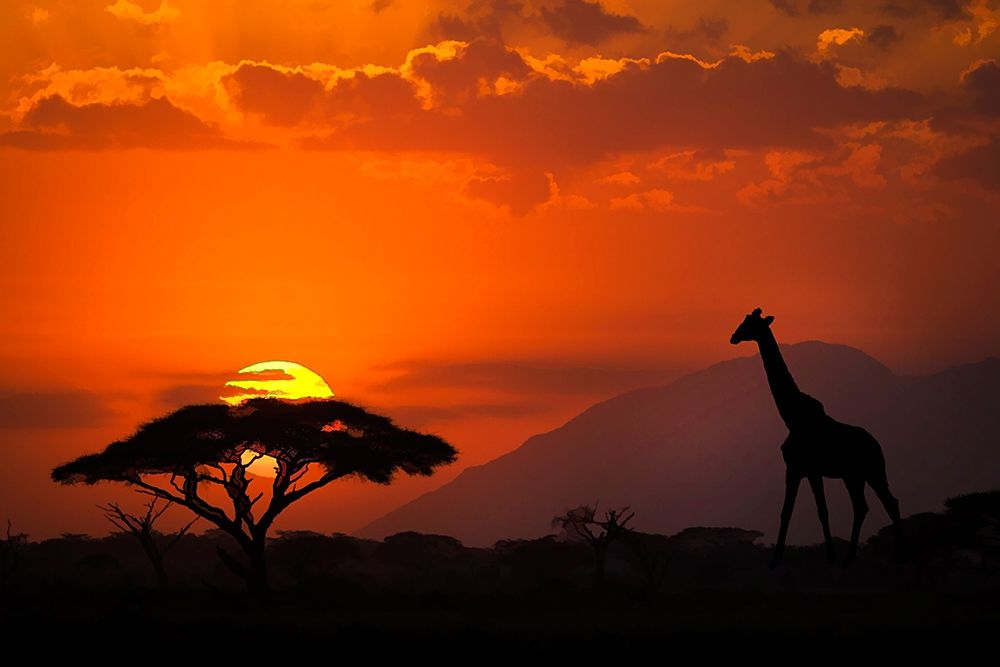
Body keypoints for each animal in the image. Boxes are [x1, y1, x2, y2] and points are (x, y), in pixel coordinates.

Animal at [732, 310, 904, 568]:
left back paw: (896, 558)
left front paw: (784, 560)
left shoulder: (803, 468)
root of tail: (877, 445)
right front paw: (783, 560)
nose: (733, 336)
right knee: (864, 506)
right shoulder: (802, 470)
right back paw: (851, 559)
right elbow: (792, 511)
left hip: (872, 471)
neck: (791, 417)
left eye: (749, 323)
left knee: (887, 503)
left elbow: (816, 511)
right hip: (854, 476)